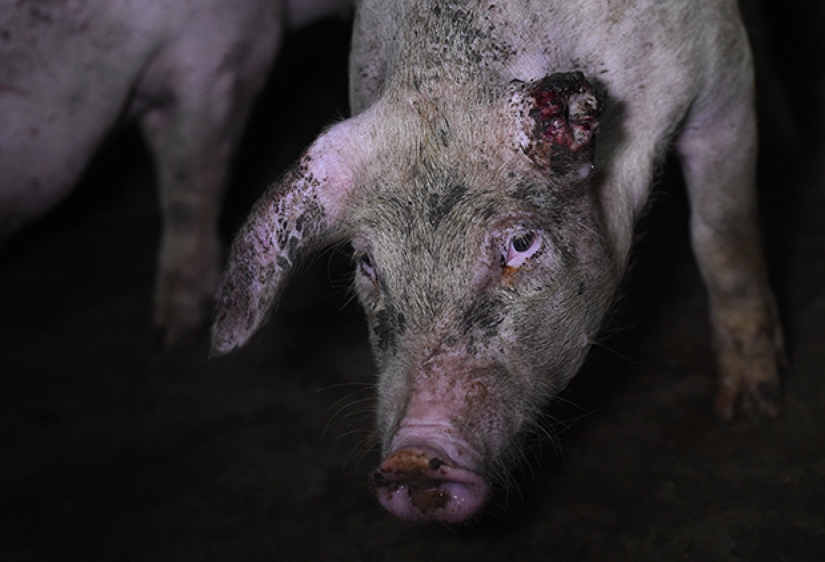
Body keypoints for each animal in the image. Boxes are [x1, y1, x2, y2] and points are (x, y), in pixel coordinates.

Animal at [211, 0, 785, 523]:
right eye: (368, 264)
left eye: (522, 243)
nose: (413, 459)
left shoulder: (720, 73)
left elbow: (723, 235)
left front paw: (750, 408)